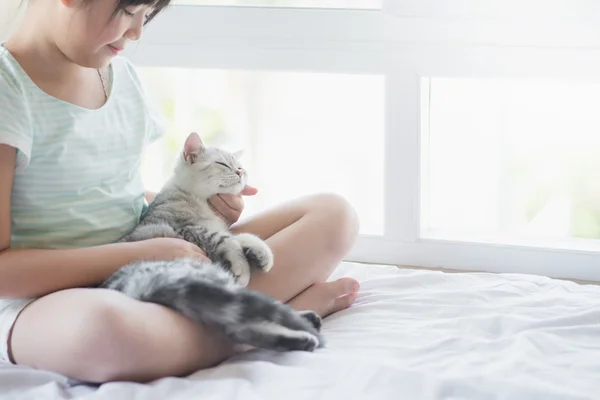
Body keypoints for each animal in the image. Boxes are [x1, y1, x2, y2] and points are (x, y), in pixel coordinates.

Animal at [100, 133, 324, 352]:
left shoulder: (214, 227)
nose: (240, 172)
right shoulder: (185, 229)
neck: (198, 200)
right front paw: (243, 268)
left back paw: (306, 332)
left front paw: (261, 254)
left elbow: (241, 237)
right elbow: (226, 240)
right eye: (223, 164)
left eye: (240, 167)